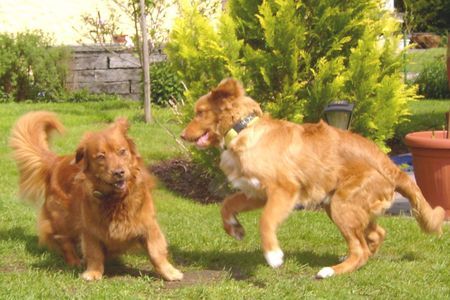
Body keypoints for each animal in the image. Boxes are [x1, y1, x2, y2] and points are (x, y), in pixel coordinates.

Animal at [10, 112, 183, 282]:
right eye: (101, 156)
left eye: (122, 151)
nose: (119, 172)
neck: (116, 199)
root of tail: (56, 161)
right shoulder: (90, 229)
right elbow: (94, 253)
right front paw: (93, 272)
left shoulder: (148, 225)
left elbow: (156, 251)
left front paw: (169, 272)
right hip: (63, 219)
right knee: (64, 240)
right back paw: (74, 261)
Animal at [180, 78, 446, 278]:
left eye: (200, 113)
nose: (182, 135)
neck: (244, 129)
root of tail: (390, 165)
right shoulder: (256, 192)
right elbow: (227, 204)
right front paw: (234, 228)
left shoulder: (284, 190)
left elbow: (265, 221)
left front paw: (273, 255)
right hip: (342, 204)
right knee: (375, 235)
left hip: (341, 204)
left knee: (360, 248)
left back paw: (332, 271)